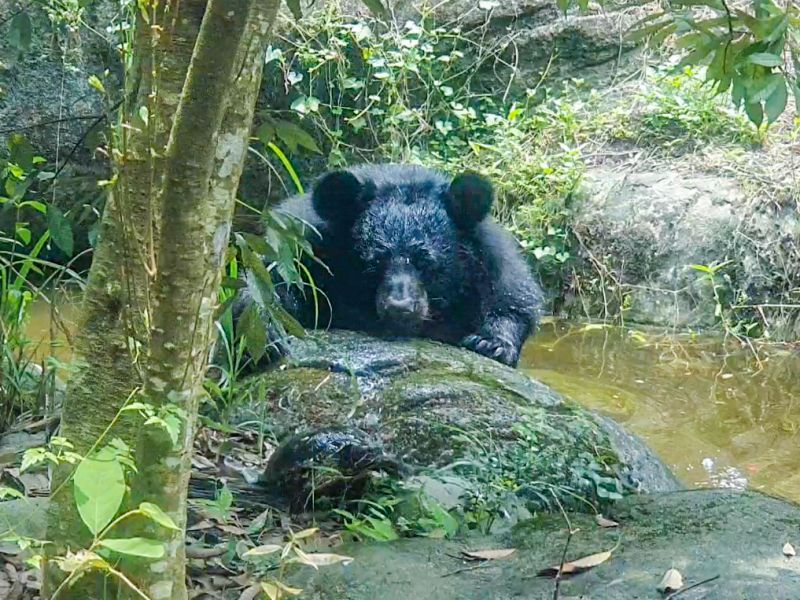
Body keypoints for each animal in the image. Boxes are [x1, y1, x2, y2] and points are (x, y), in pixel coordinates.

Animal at [234, 165, 540, 366]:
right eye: (374, 263)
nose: (399, 308)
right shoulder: (300, 247)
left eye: (427, 263)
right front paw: (265, 334)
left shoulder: (490, 263)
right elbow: (271, 281)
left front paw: (491, 344)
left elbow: (512, 299)